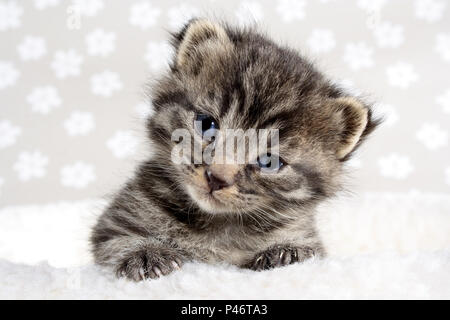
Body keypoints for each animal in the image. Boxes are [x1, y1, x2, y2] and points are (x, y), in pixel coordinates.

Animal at [89, 19, 378, 280]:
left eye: (269, 162)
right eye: (207, 125)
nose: (217, 178)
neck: (216, 222)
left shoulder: (307, 237)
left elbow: (305, 250)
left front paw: (285, 253)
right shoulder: (113, 223)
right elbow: (118, 240)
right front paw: (145, 254)